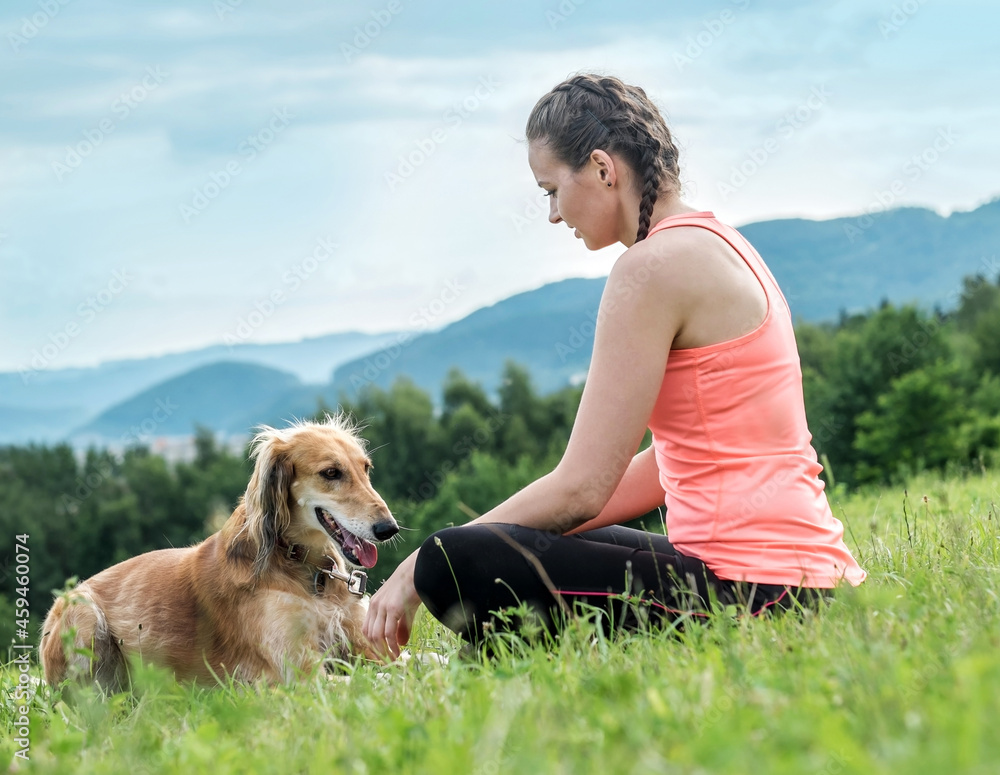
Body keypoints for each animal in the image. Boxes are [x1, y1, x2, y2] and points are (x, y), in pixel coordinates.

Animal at [40, 412, 398, 692]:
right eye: (331, 473)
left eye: (366, 468)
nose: (389, 528)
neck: (304, 567)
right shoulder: (301, 675)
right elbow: (381, 680)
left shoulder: (363, 642)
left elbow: (406, 662)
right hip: (82, 612)